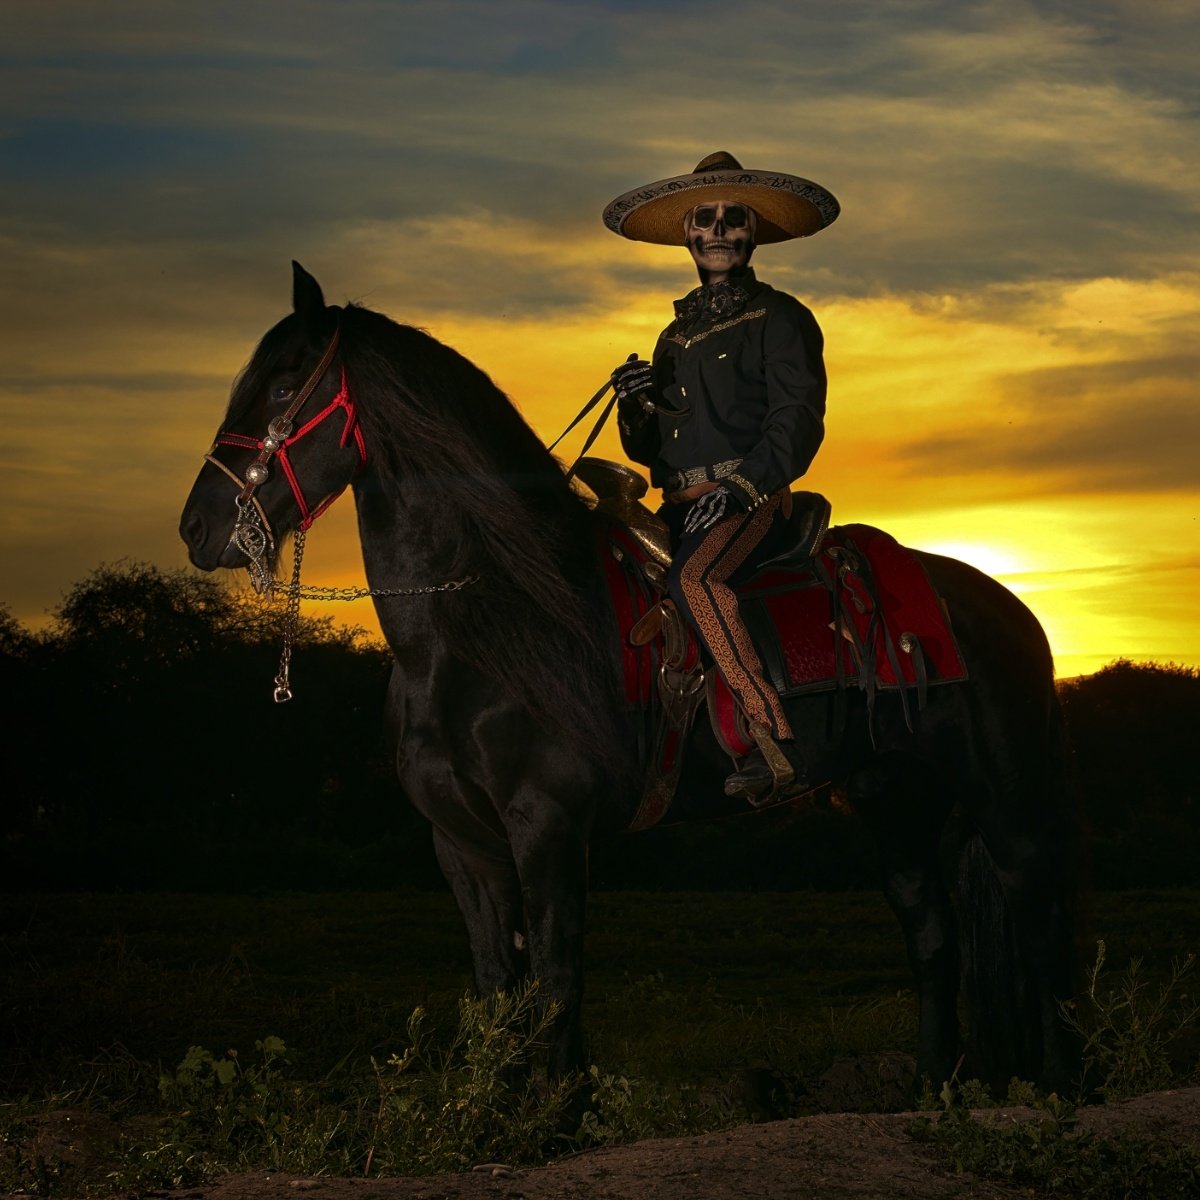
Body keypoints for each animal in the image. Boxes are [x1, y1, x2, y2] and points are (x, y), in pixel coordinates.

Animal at [180, 262, 1089, 1099]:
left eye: (284, 386)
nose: (197, 527)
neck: (479, 632)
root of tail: (1005, 607)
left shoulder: (549, 829)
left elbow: (556, 985)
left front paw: (557, 1116)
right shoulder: (463, 844)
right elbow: (498, 990)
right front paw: (502, 1119)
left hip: (1005, 800)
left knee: (1040, 922)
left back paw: (1061, 1086)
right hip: (893, 799)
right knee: (934, 935)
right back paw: (935, 1088)